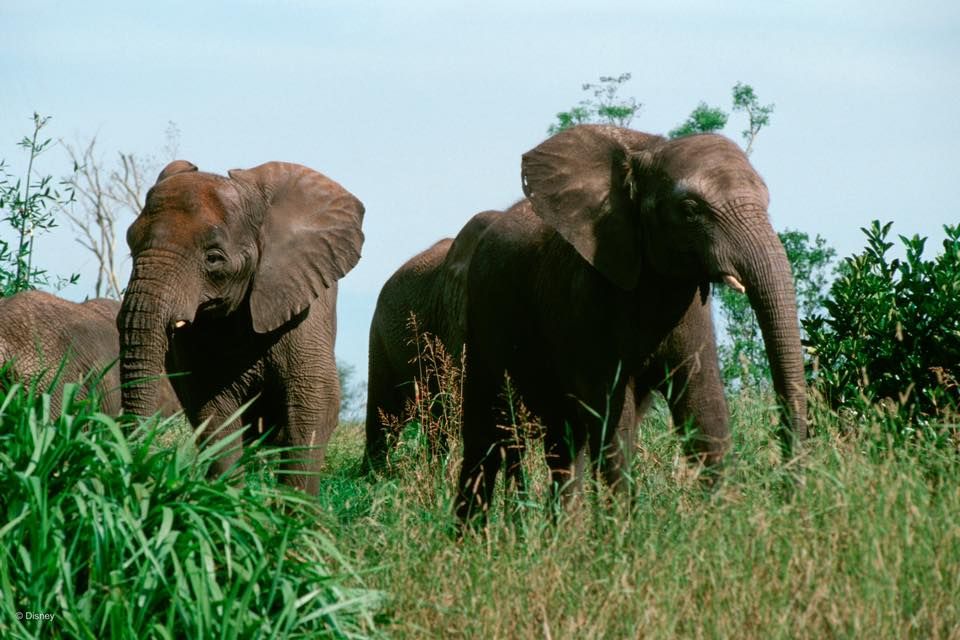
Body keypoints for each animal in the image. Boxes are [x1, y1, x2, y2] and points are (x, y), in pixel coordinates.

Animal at [118, 159, 364, 494]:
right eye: (131, 246)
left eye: (213, 258)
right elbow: (214, 410)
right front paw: (229, 500)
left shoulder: (302, 305)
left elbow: (313, 400)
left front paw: (294, 508)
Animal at [454, 125, 807, 523]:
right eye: (690, 210)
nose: (791, 496)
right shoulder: (585, 299)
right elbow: (612, 416)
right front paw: (623, 532)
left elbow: (704, 406)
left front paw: (723, 521)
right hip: (482, 323)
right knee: (485, 439)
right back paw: (470, 535)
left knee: (564, 443)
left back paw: (564, 532)